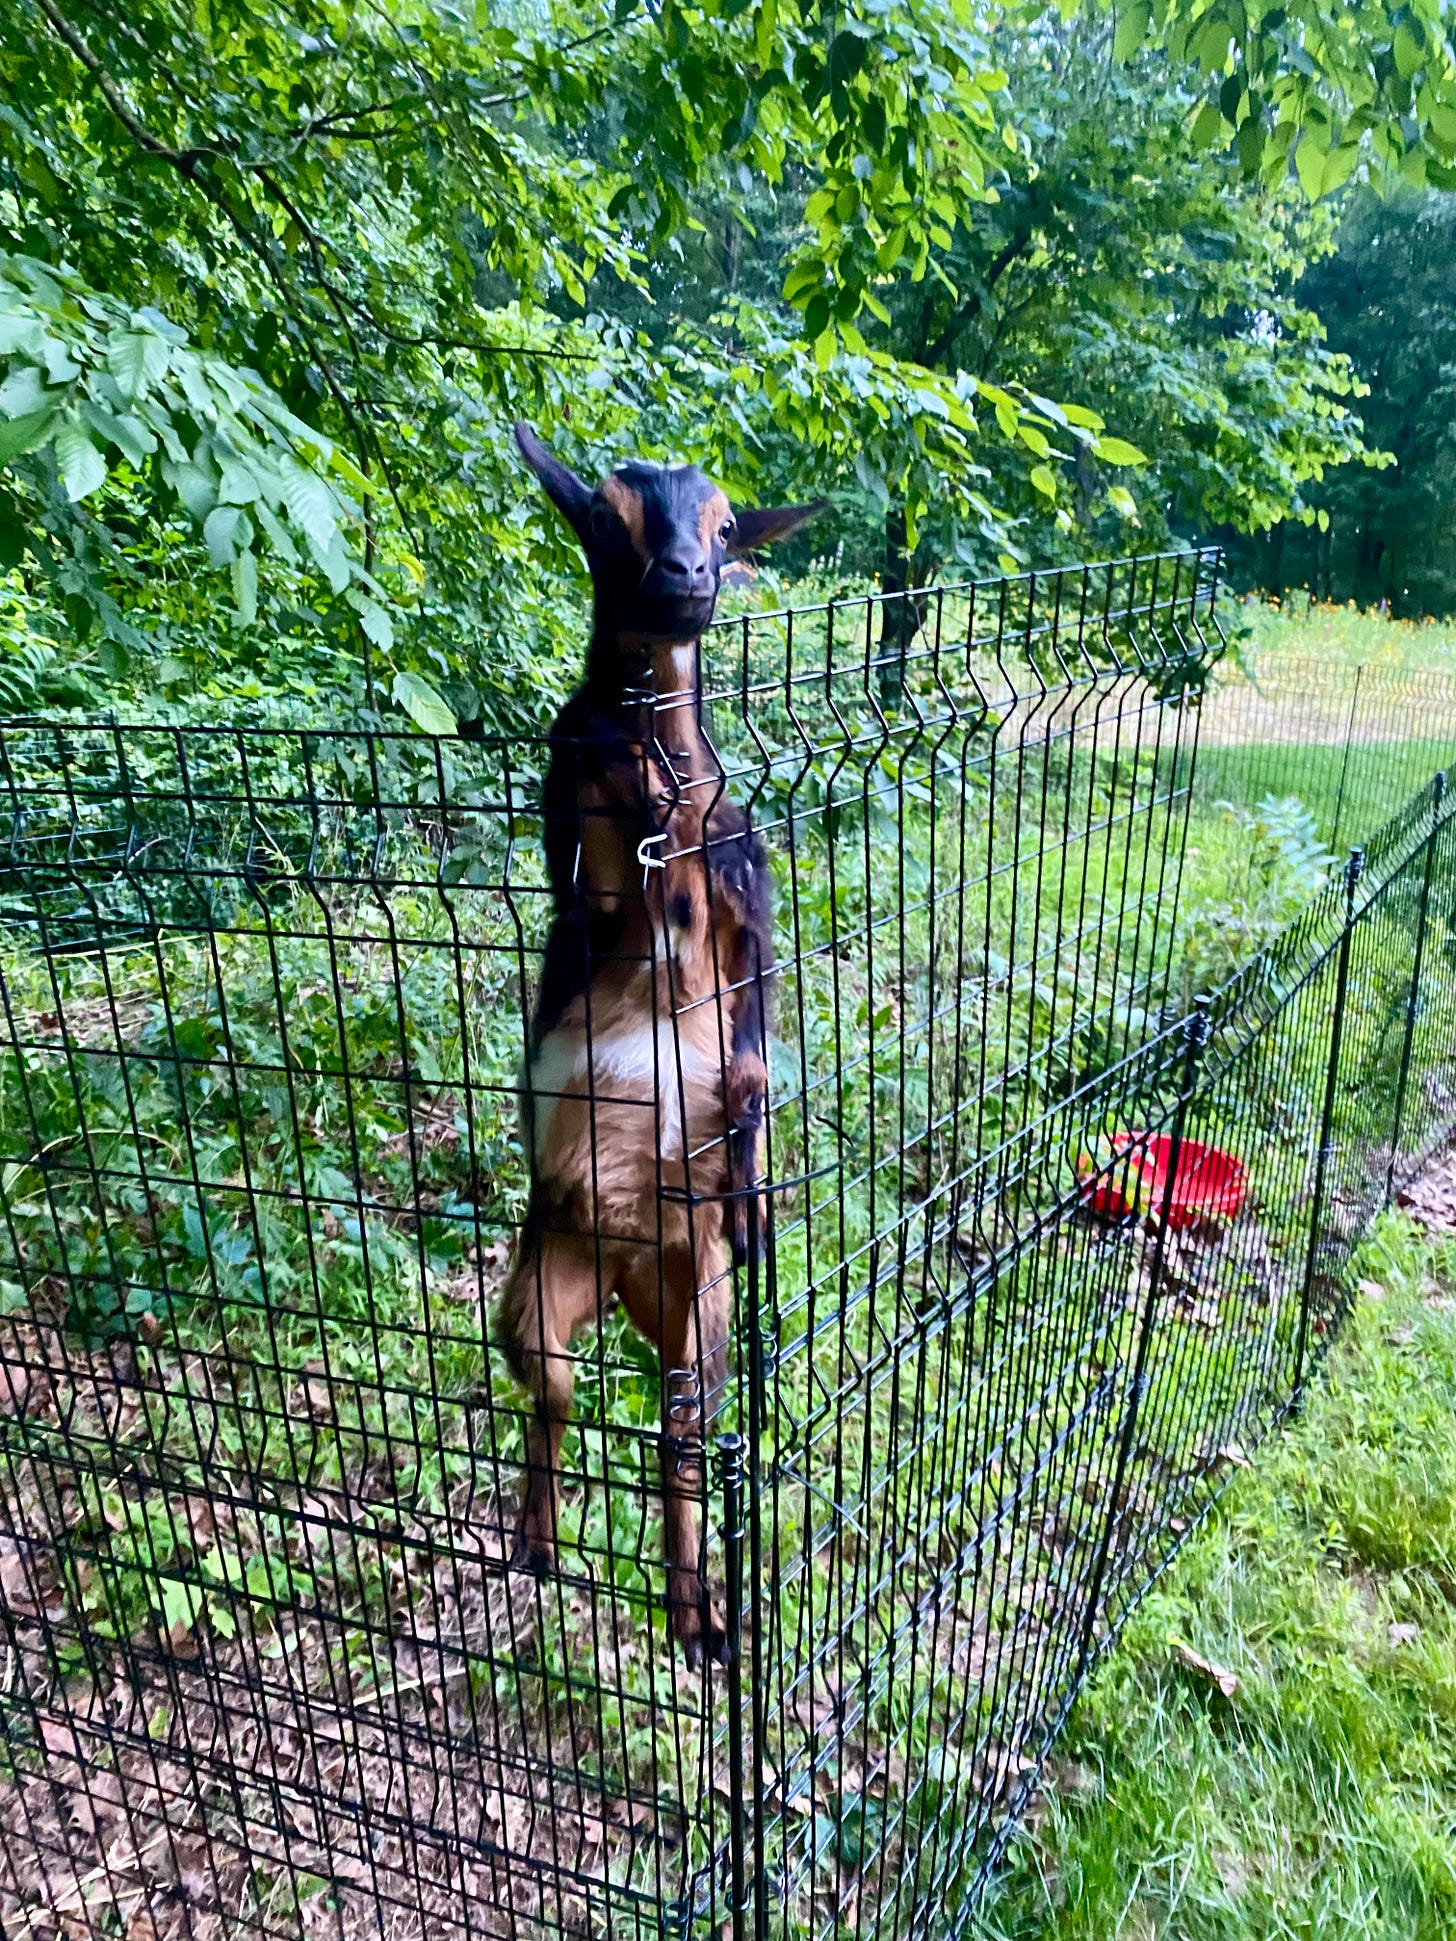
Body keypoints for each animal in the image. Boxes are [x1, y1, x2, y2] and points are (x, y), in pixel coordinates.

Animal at [500, 425, 823, 1669]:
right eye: (605, 514)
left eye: (729, 527)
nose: (686, 578)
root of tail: (628, 1270)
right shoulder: (581, 872)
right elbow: (590, 787)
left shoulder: (748, 895)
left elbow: (754, 1051)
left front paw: (754, 1176)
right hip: (536, 1283)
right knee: (549, 1399)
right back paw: (537, 1550)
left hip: (704, 1304)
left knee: (684, 1433)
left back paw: (700, 1616)